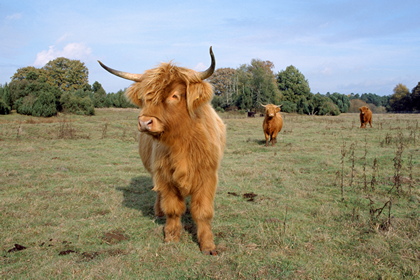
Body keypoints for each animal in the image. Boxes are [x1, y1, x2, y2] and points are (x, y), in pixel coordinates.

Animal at [99, 47, 226, 255]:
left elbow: (203, 212)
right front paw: (171, 237)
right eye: (145, 98)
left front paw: (208, 245)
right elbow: (173, 209)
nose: (145, 122)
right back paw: (158, 211)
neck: (182, 143)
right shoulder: (165, 176)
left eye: (175, 95)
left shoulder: (207, 175)